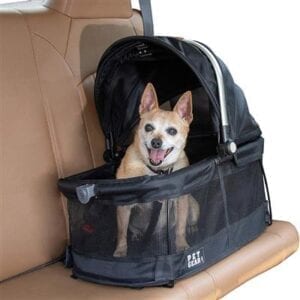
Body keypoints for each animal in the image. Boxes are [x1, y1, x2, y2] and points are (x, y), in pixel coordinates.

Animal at [113, 83, 200, 256]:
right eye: (148, 127)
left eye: (172, 131)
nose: (156, 142)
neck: (157, 171)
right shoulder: (124, 206)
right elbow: (121, 232)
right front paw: (120, 251)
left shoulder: (181, 201)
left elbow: (180, 227)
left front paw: (181, 245)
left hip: (192, 207)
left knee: (186, 222)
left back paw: (191, 227)